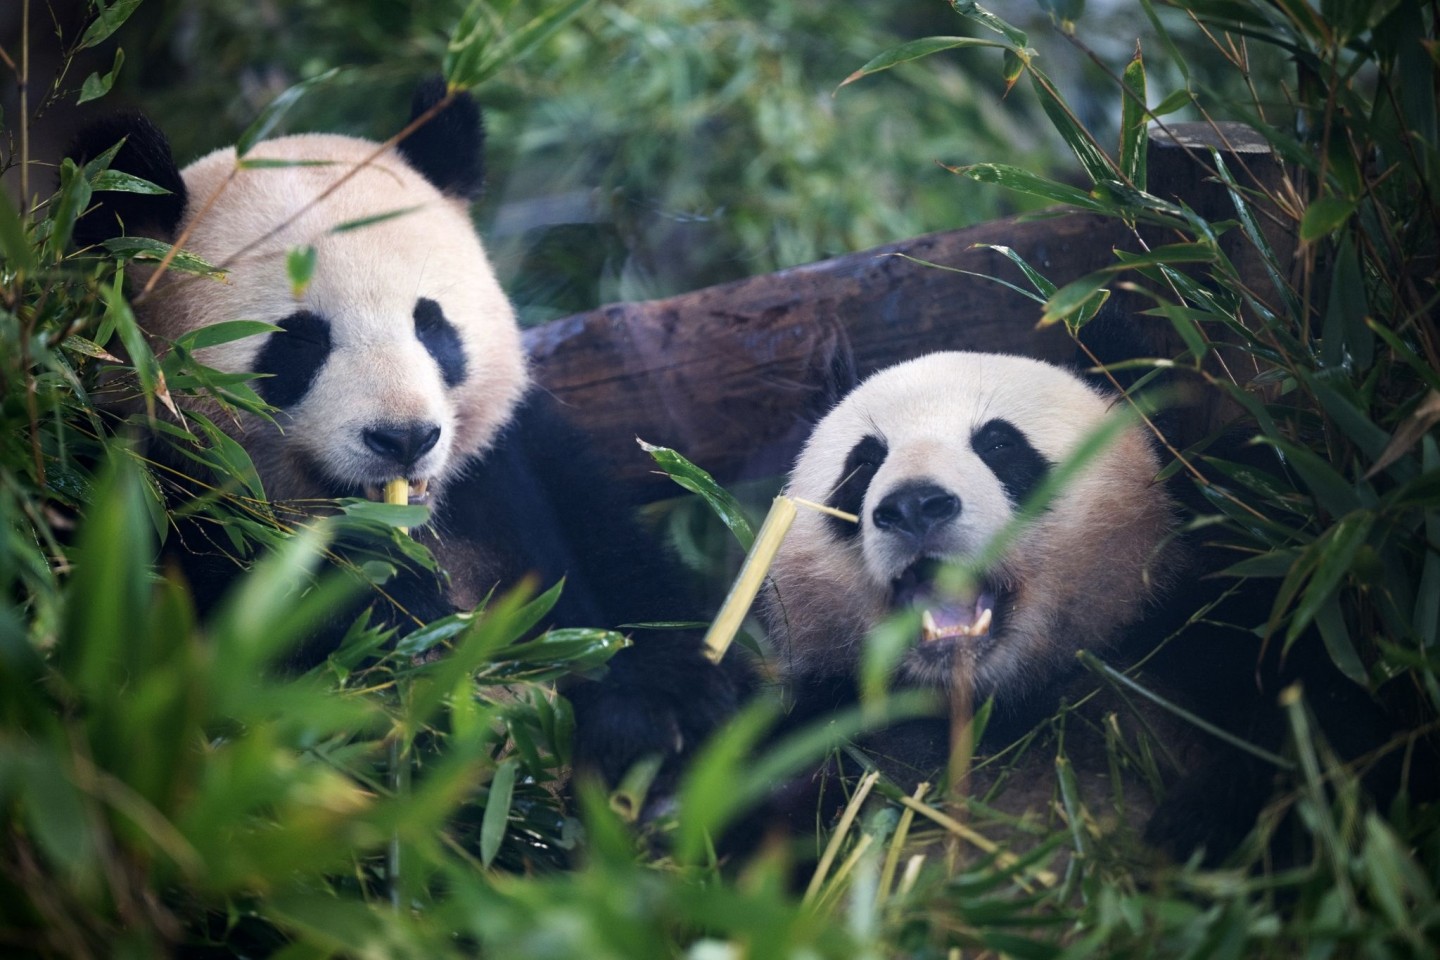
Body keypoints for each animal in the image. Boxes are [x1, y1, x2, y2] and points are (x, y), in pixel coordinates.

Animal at [70, 82, 743, 788]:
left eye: (431, 324)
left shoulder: (516, 464)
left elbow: (624, 577)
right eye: (298, 344)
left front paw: (663, 706)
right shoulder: (152, 498)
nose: (405, 438)